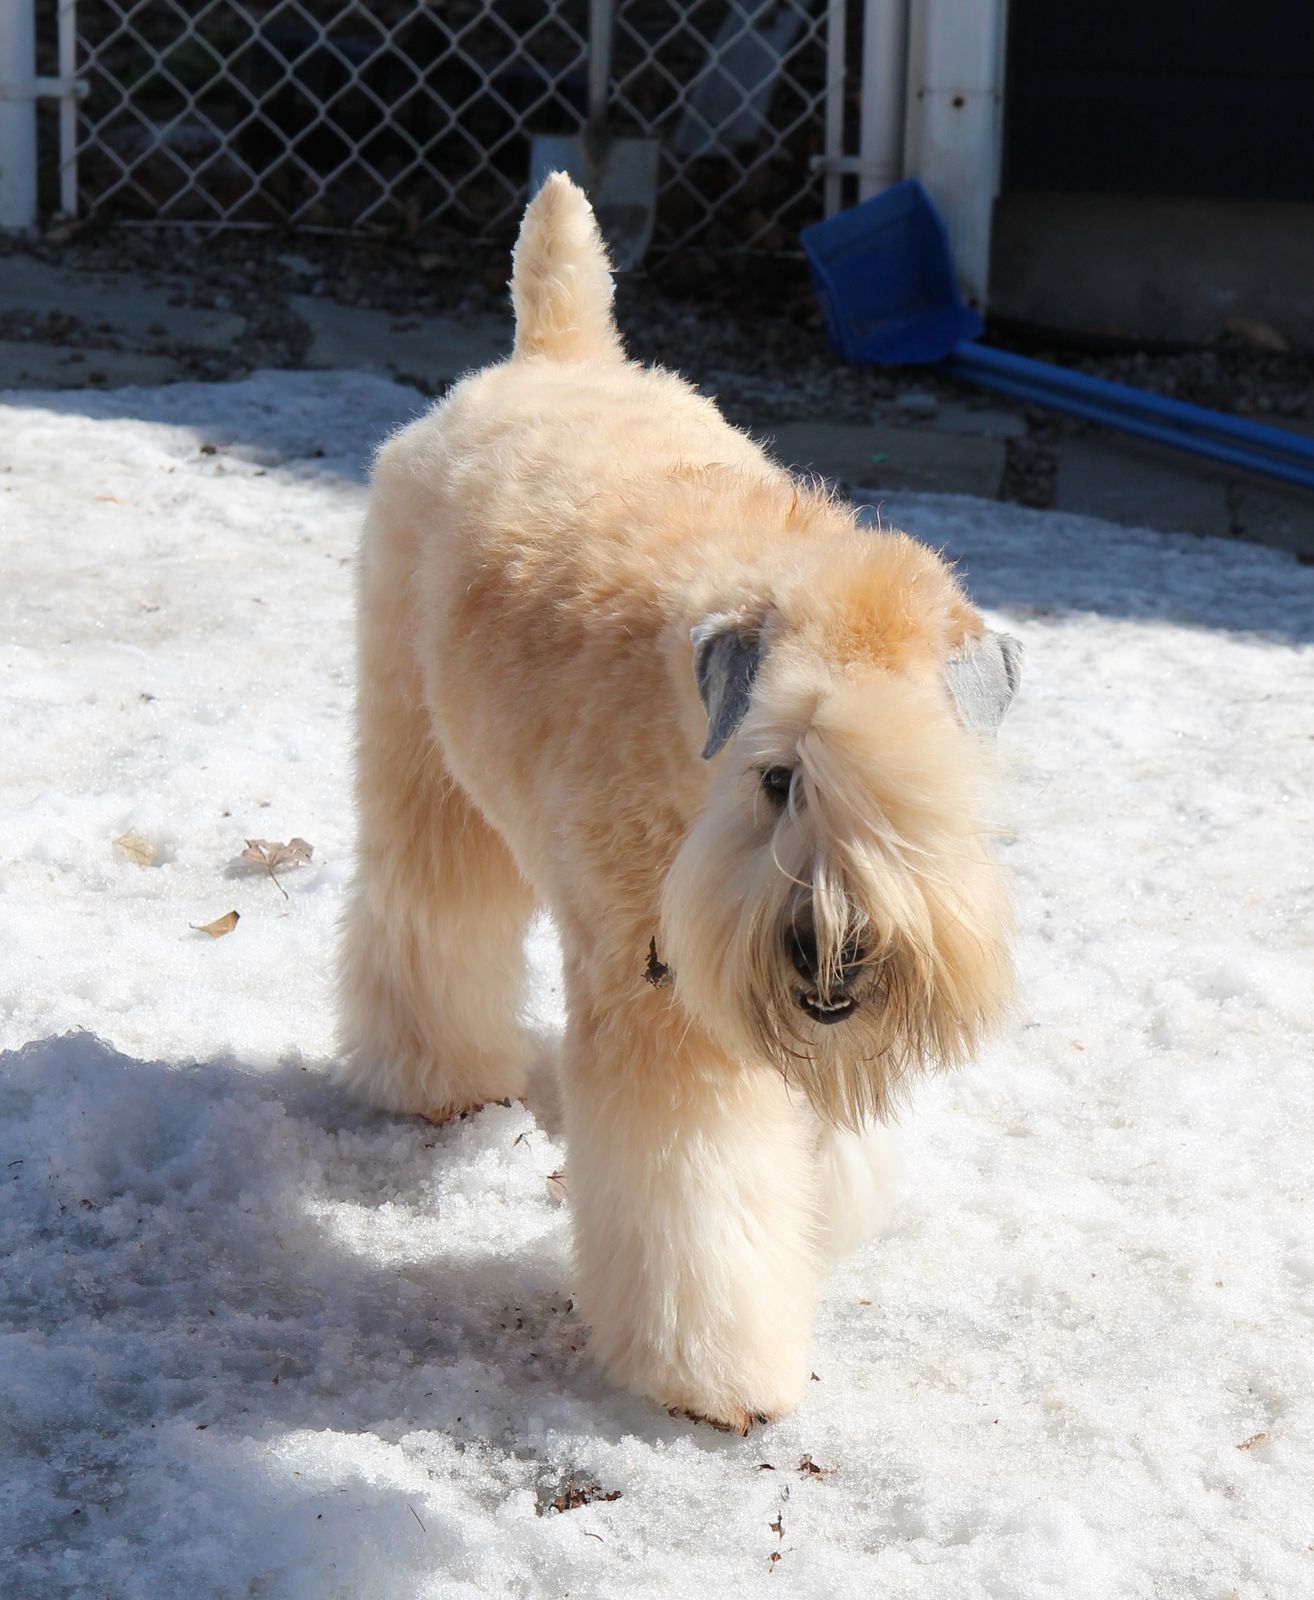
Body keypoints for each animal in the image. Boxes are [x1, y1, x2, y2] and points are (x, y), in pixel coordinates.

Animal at [337, 174, 1021, 1434]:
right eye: (779, 774)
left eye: (932, 789)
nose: (836, 953)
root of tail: (559, 349)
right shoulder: (662, 1005)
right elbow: (694, 1201)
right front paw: (720, 1372)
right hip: (422, 760)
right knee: (426, 912)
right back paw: (437, 1077)